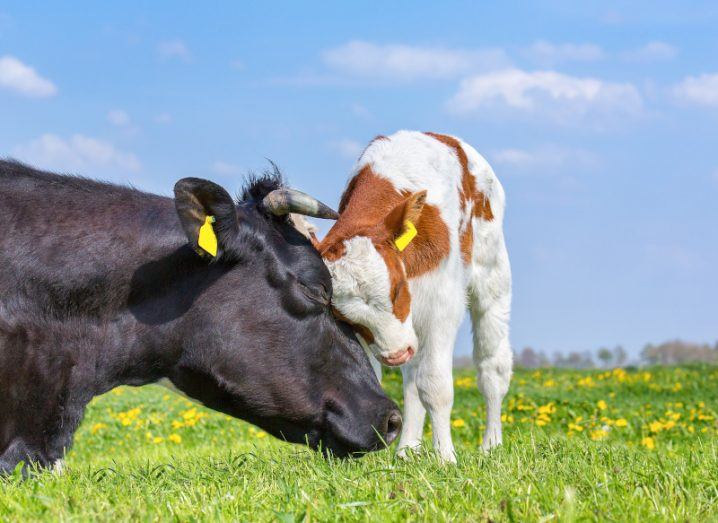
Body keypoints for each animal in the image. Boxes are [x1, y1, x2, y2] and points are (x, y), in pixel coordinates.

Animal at [320, 130, 512, 462]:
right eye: (345, 317)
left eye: (397, 288)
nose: (396, 354)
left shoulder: (441, 308)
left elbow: (435, 386)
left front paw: (446, 457)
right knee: (411, 380)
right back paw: (407, 450)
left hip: (492, 277)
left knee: (492, 370)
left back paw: (491, 445)